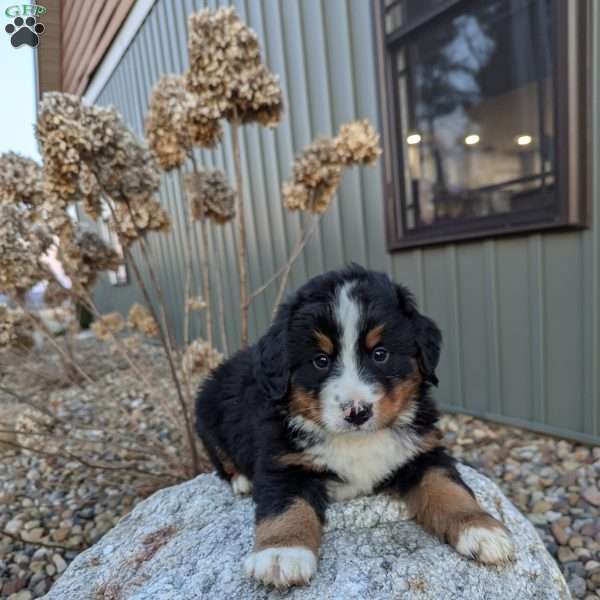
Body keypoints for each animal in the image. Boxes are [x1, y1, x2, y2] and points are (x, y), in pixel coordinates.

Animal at [195, 266, 512, 584]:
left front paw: (481, 529)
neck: (358, 440)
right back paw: (242, 481)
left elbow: (448, 487)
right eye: (320, 360)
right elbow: (285, 505)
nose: (357, 412)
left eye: (380, 354)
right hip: (206, 412)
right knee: (222, 458)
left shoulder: (423, 451)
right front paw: (281, 553)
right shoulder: (282, 460)